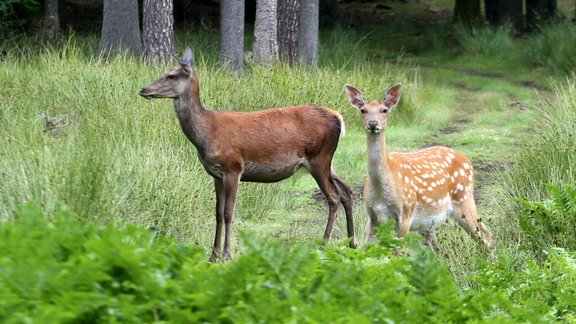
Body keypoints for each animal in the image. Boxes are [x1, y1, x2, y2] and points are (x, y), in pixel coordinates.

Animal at [140, 48, 356, 260]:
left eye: (171, 75)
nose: (143, 89)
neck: (205, 135)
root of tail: (338, 117)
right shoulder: (215, 174)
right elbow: (217, 213)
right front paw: (213, 255)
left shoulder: (233, 167)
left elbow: (228, 213)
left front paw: (227, 254)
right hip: (328, 162)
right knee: (346, 192)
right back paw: (351, 243)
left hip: (319, 158)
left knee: (334, 198)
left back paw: (324, 244)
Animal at [344, 83, 492, 248]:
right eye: (363, 110)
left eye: (384, 110)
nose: (372, 124)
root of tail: (468, 161)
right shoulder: (373, 216)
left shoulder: (406, 212)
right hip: (429, 223)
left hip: (464, 197)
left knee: (486, 234)